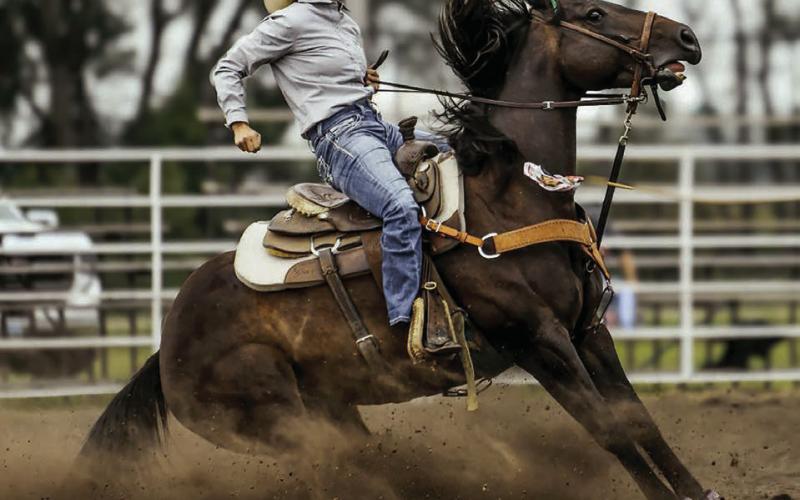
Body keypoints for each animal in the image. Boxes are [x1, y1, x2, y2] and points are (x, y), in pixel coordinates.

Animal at [81, 1, 712, 498]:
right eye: (595, 14)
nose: (686, 37)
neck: (513, 195)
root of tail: (165, 346)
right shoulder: (537, 340)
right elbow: (613, 431)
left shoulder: (588, 331)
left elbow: (641, 423)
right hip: (280, 420)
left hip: (330, 408)